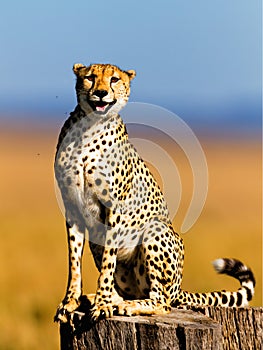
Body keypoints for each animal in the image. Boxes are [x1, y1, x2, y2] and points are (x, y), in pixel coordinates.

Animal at [55, 63, 256, 322]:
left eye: (114, 79)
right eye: (90, 77)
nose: (100, 93)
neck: (89, 128)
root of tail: (179, 288)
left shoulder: (114, 208)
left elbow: (108, 263)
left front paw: (101, 305)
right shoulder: (72, 207)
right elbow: (74, 261)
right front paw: (70, 302)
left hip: (155, 229)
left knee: (162, 301)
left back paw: (126, 306)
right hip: (100, 244)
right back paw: (99, 299)